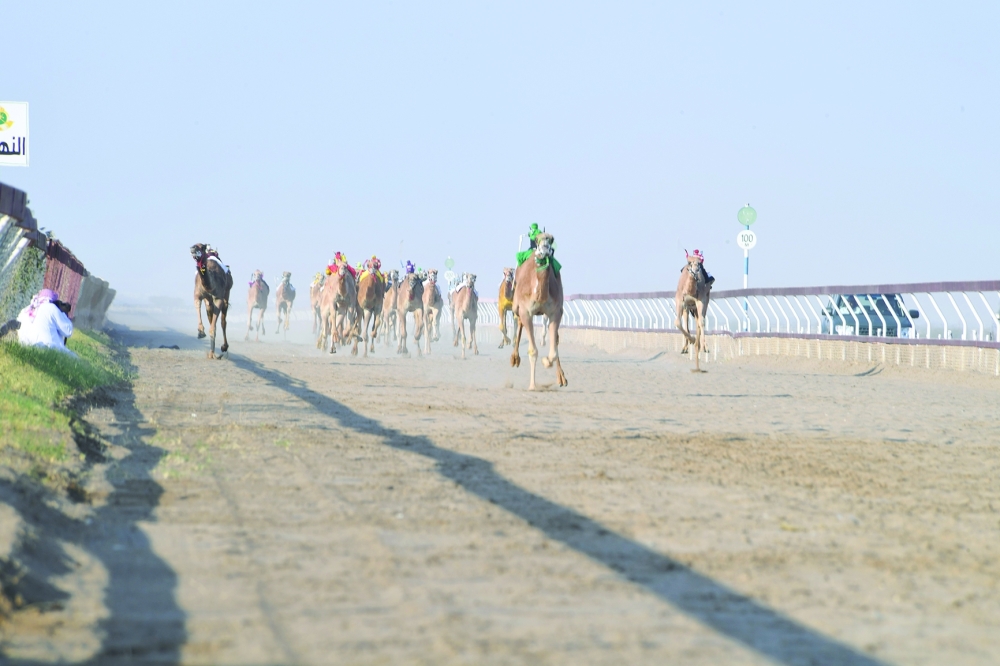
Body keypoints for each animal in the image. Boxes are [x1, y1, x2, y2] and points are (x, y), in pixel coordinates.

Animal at [510, 232, 567, 390]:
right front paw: (532, 385)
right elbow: (533, 351)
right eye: (536, 239)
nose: (544, 250)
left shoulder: (556, 312)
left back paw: (562, 378)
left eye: (551, 239)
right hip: (516, 306)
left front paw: (546, 361)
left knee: (556, 339)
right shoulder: (526, 311)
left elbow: (553, 351)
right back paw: (514, 358)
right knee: (519, 323)